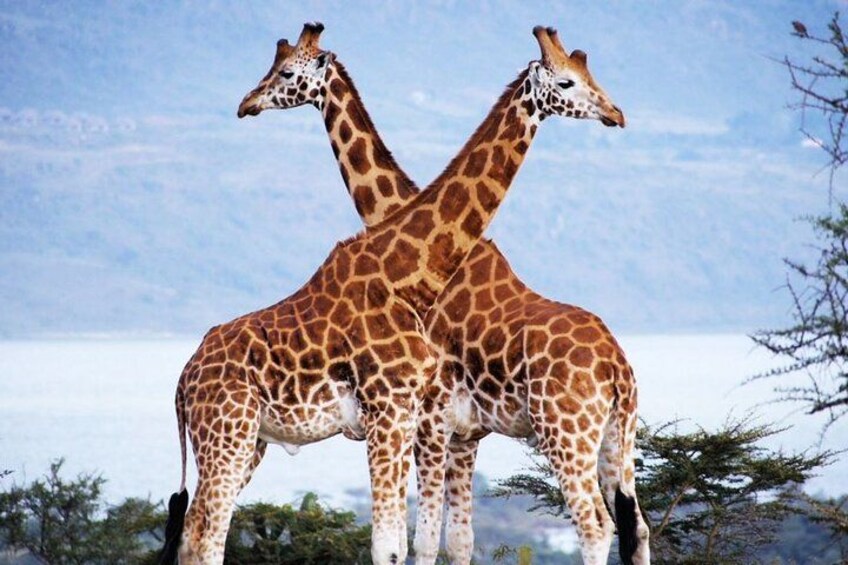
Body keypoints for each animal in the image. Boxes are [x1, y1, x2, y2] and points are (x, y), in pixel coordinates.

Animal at [238, 23, 648, 565]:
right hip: (617, 439)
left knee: (596, 525)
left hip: (566, 431)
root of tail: (617, 368)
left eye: (285, 72)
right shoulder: (464, 433)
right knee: (636, 527)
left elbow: (425, 537)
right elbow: (458, 540)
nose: (246, 103)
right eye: (569, 80)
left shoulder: (430, 419)